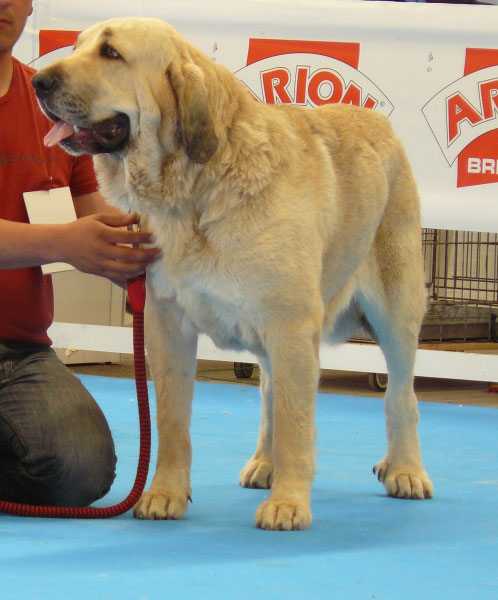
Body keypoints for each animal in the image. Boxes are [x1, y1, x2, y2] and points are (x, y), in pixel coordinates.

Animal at [33, 17, 434, 528]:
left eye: (110, 53)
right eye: (78, 46)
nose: (38, 81)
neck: (193, 192)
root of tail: (381, 124)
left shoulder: (290, 324)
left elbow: (296, 423)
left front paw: (289, 503)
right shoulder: (168, 327)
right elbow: (172, 419)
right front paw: (165, 492)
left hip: (395, 311)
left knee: (401, 395)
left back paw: (405, 470)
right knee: (268, 392)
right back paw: (265, 462)